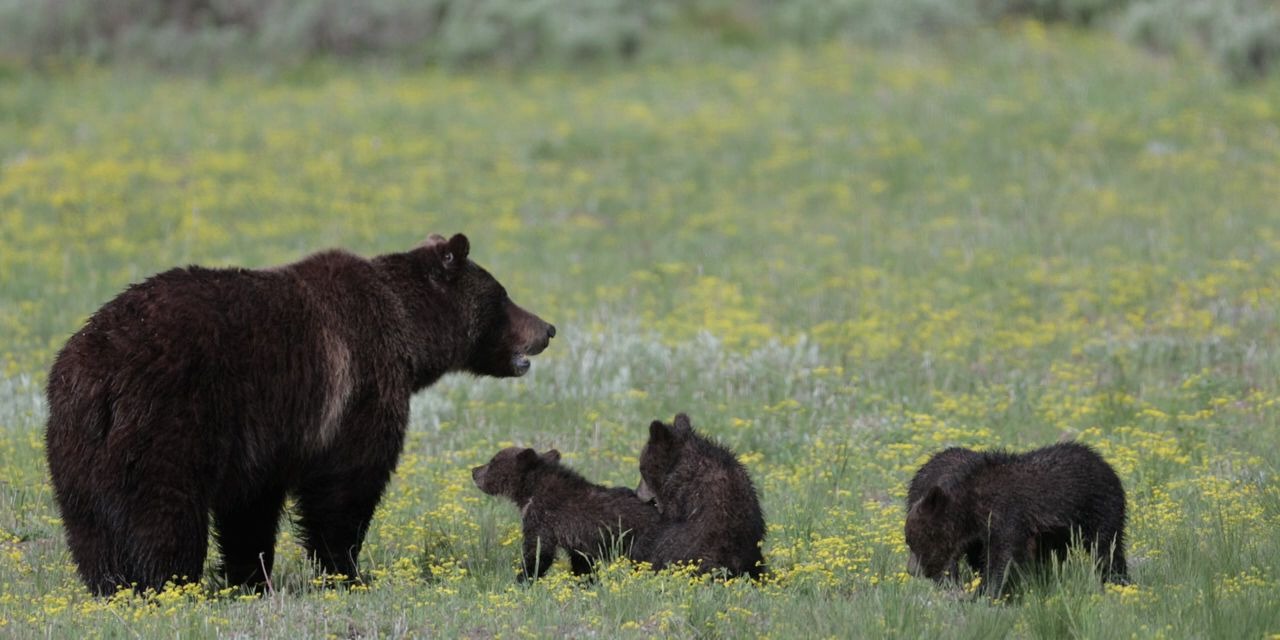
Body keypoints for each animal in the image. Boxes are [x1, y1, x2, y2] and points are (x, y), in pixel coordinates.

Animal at [43, 231, 555, 593]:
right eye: (503, 296)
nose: (547, 328)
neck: (408, 333)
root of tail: (96, 369)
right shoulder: (359, 388)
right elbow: (346, 487)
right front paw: (348, 572)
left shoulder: (264, 437)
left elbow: (251, 508)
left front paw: (251, 577)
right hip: (167, 422)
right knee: (163, 514)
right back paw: (167, 584)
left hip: (75, 442)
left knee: (89, 524)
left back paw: (110, 585)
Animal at [471, 445, 660, 581]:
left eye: (492, 462)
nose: (474, 470)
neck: (530, 491)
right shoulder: (578, 540)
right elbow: (583, 564)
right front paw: (587, 583)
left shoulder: (542, 518)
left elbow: (538, 553)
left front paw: (522, 580)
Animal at [901, 442, 1131, 596]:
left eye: (914, 542)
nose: (911, 570)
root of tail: (1105, 464)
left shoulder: (1008, 515)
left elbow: (1002, 555)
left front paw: (984, 592)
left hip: (1099, 507)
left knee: (1106, 547)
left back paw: (1118, 581)